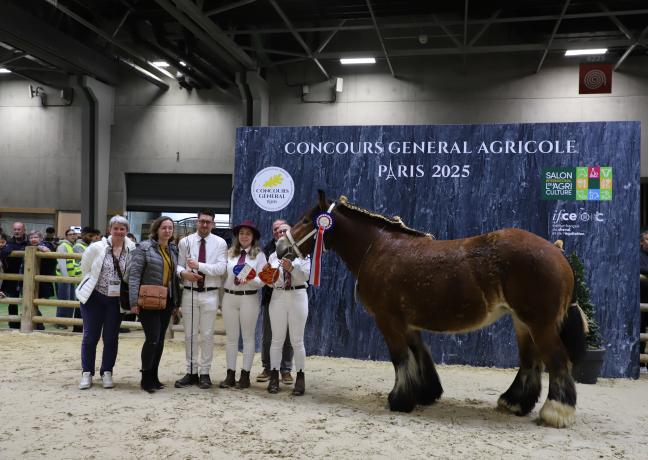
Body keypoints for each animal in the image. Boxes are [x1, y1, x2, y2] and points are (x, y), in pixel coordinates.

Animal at [276, 191, 587, 428]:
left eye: (306, 219)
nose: (280, 248)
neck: (377, 248)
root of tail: (557, 251)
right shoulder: (408, 322)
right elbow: (420, 356)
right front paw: (425, 394)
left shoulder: (388, 320)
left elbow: (400, 358)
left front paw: (399, 400)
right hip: (523, 323)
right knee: (530, 362)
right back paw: (514, 403)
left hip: (540, 323)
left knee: (558, 361)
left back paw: (555, 412)